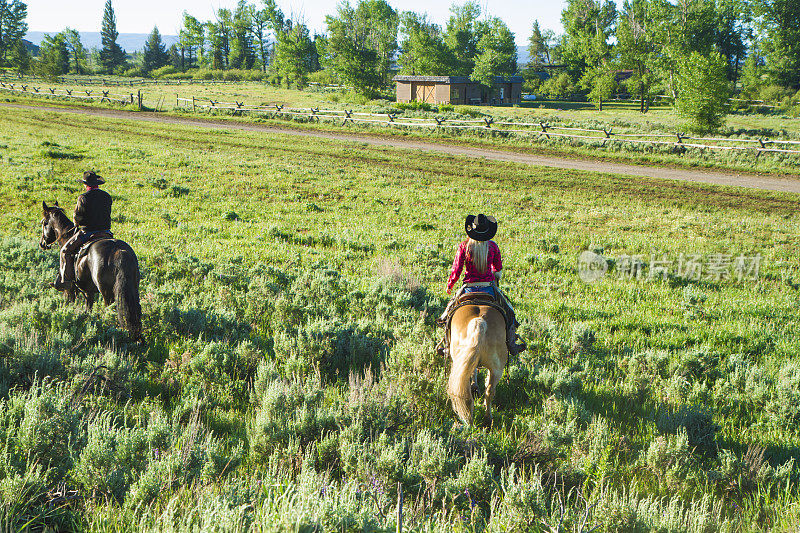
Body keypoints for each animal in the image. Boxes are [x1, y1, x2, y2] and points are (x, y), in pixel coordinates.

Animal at [40, 200, 142, 336]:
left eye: (44, 223)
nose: (42, 243)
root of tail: (119, 251)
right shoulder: (89, 291)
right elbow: (88, 309)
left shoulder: (71, 290)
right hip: (132, 289)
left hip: (107, 294)